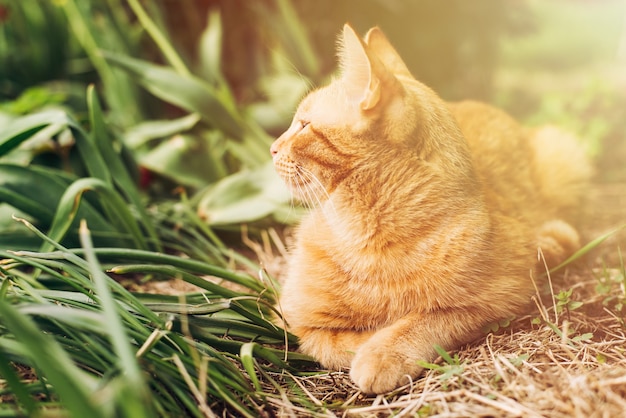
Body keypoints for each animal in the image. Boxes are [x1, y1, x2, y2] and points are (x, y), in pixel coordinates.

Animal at [270, 24, 588, 394]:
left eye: (304, 125)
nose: (272, 147)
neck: (370, 239)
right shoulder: (292, 320)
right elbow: (329, 343)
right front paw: (369, 341)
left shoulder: (503, 296)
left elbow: (430, 318)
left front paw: (383, 350)